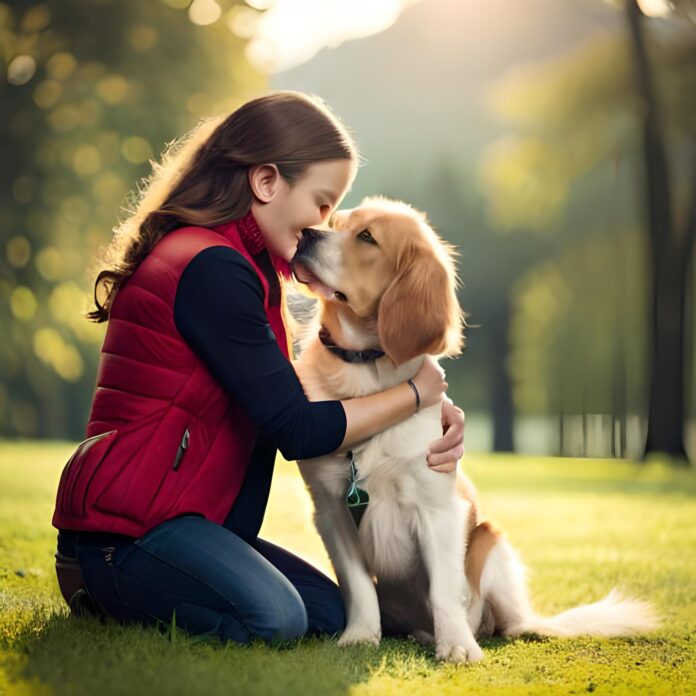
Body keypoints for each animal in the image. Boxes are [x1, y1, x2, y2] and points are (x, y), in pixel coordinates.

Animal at [290, 196, 656, 664]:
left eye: (367, 237)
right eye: (335, 222)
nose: (305, 235)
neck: (366, 376)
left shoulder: (437, 507)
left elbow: (445, 590)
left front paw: (457, 646)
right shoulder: (331, 508)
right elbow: (357, 585)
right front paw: (360, 635)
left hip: (490, 542)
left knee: (510, 620)